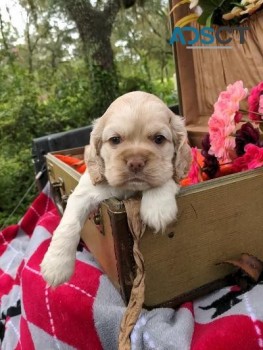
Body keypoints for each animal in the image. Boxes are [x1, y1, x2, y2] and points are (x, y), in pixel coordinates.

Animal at [40, 91, 192, 288]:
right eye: (115, 140)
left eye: (159, 139)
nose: (136, 163)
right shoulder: (84, 191)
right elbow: (69, 224)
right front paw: (56, 266)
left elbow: (165, 177)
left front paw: (158, 208)